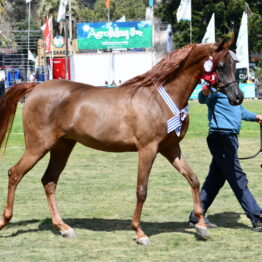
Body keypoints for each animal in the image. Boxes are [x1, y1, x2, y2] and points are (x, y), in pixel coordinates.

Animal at [0, 40, 244, 245]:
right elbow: (141, 190)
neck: (159, 99)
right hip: (38, 146)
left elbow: (193, 179)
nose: (238, 97)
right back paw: (5, 220)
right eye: (220, 65)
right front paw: (139, 232)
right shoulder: (147, 149)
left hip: (62, 147)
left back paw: (64, 227)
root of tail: (35, 88)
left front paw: (201, 225)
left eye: (235, 63)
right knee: (15, 173)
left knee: (49, 181)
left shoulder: (171, 148)